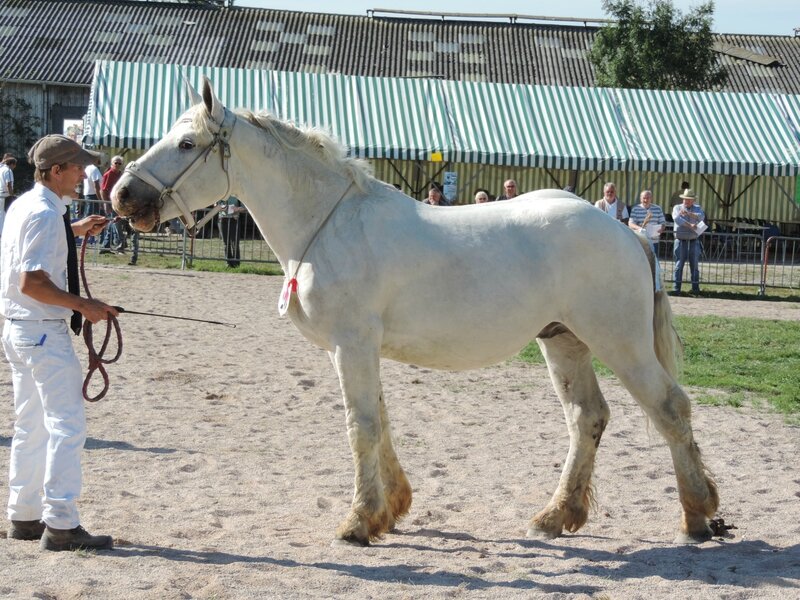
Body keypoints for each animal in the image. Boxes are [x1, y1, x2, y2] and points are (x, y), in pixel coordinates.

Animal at [112, 77, 720, 548]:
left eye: (186, 142)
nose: (121, 195)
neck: (330, 224)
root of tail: (626, 231)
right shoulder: (356, 351)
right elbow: (379, 423)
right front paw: (391, 509)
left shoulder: (352, 345)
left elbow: (360, 427)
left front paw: (359, 522)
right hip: (564, 341)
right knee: (587, 418)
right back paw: (556, 516)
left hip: (620, 342)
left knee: (670, 409)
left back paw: (698, 515)